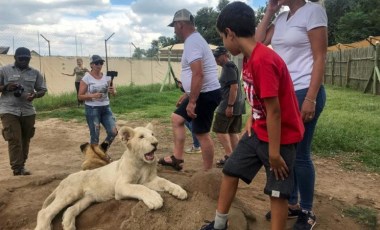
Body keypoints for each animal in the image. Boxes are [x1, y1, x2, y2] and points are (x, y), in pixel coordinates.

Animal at [35, 124, 187, 230]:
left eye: (153, 134)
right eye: (141, 137)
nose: (155, 143)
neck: (142, 163)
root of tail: (63, 180)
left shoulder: (149, 181)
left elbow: (165, 181)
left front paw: (179, 191)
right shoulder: (121, 187)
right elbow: (139, 188)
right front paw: (154, 199)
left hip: (86, 199)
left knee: (69, 210)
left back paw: (69, 226)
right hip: (70, 193)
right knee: (44, 212)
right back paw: (44, 227)